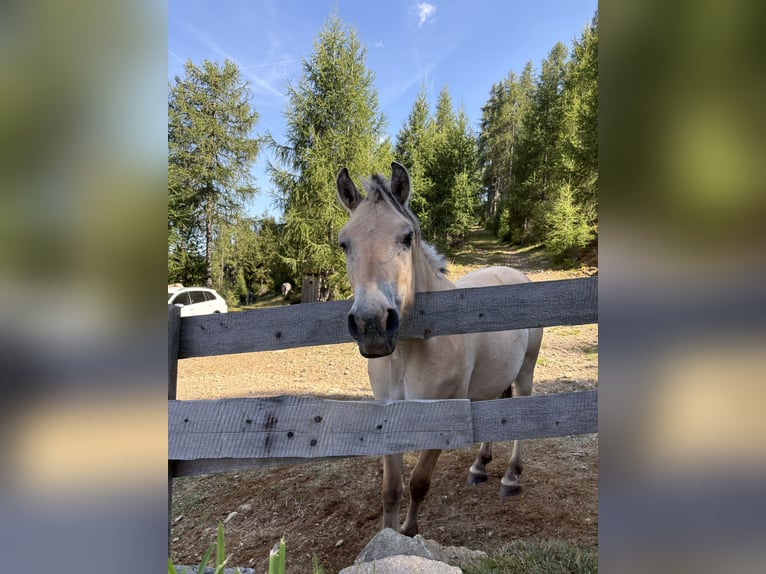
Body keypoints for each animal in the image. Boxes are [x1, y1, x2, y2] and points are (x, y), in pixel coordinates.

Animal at [336, 162, 543, 536]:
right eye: (345, 243)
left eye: (407, 237)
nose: (372, 324)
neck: (411, 351)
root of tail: (512, 272)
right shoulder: (388, 417)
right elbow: (391, 489)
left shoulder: (442, 417)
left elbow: (419, 483)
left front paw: (409, 532)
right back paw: (479, 466)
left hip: (526, 371)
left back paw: (510, 478)